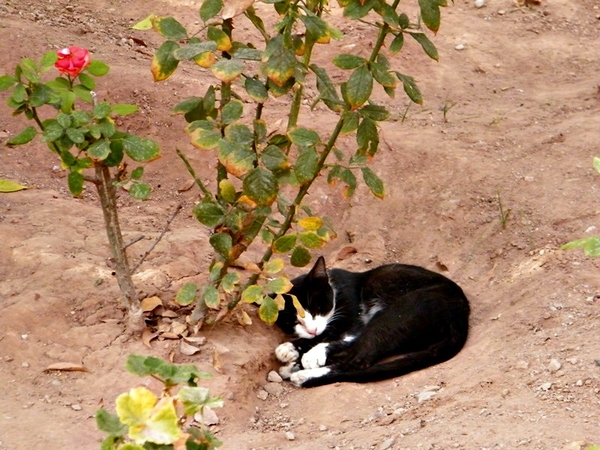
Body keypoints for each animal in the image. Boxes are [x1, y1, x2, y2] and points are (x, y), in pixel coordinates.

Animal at [274, 256, 472, 386]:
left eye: (317, 308)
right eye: (293, 320)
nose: (312, 330)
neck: (336, 289)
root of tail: (461, 314)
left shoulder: (356, 320)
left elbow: (334, 335)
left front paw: (311, 353)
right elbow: (326, 334)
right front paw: (291, 348)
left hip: (395, 314)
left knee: (358, 360)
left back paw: (303, 375)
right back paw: (293, 368)